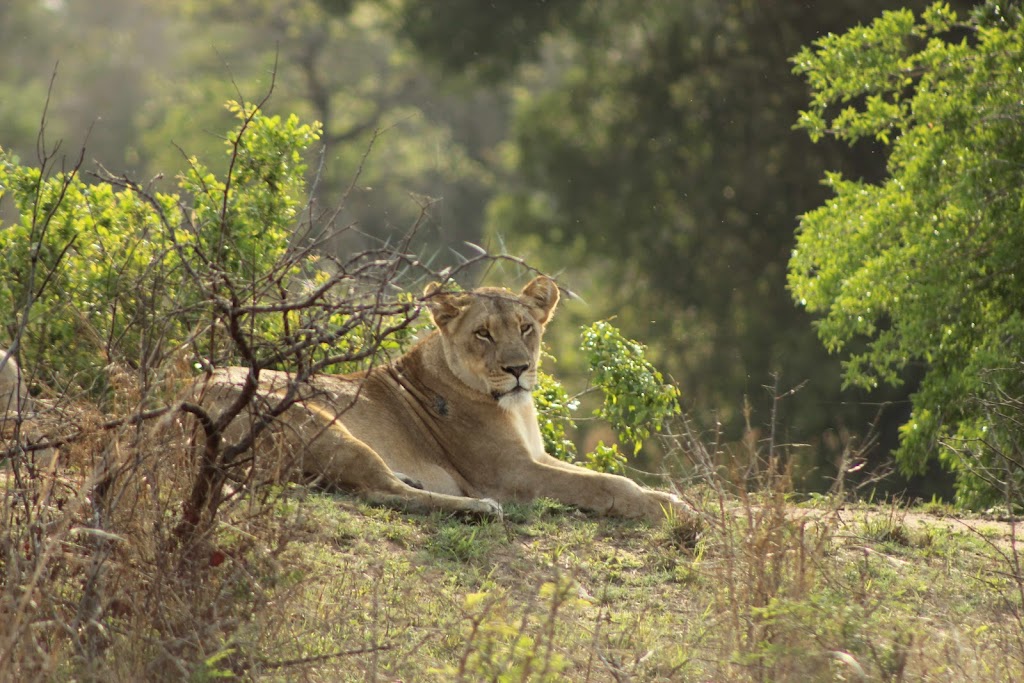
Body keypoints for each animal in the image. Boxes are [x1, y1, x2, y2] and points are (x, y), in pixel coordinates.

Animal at [187, 276, 687, 523]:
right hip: (318, 422)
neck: (515, 409)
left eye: (526, 327)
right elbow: (606, 485)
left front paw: (672, 499)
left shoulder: (536, 456)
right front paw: (669, 511)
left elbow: (605, 476)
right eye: (483, 333)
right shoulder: (510, 475)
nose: (518, 368)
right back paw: (478, 510)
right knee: (379, 491)